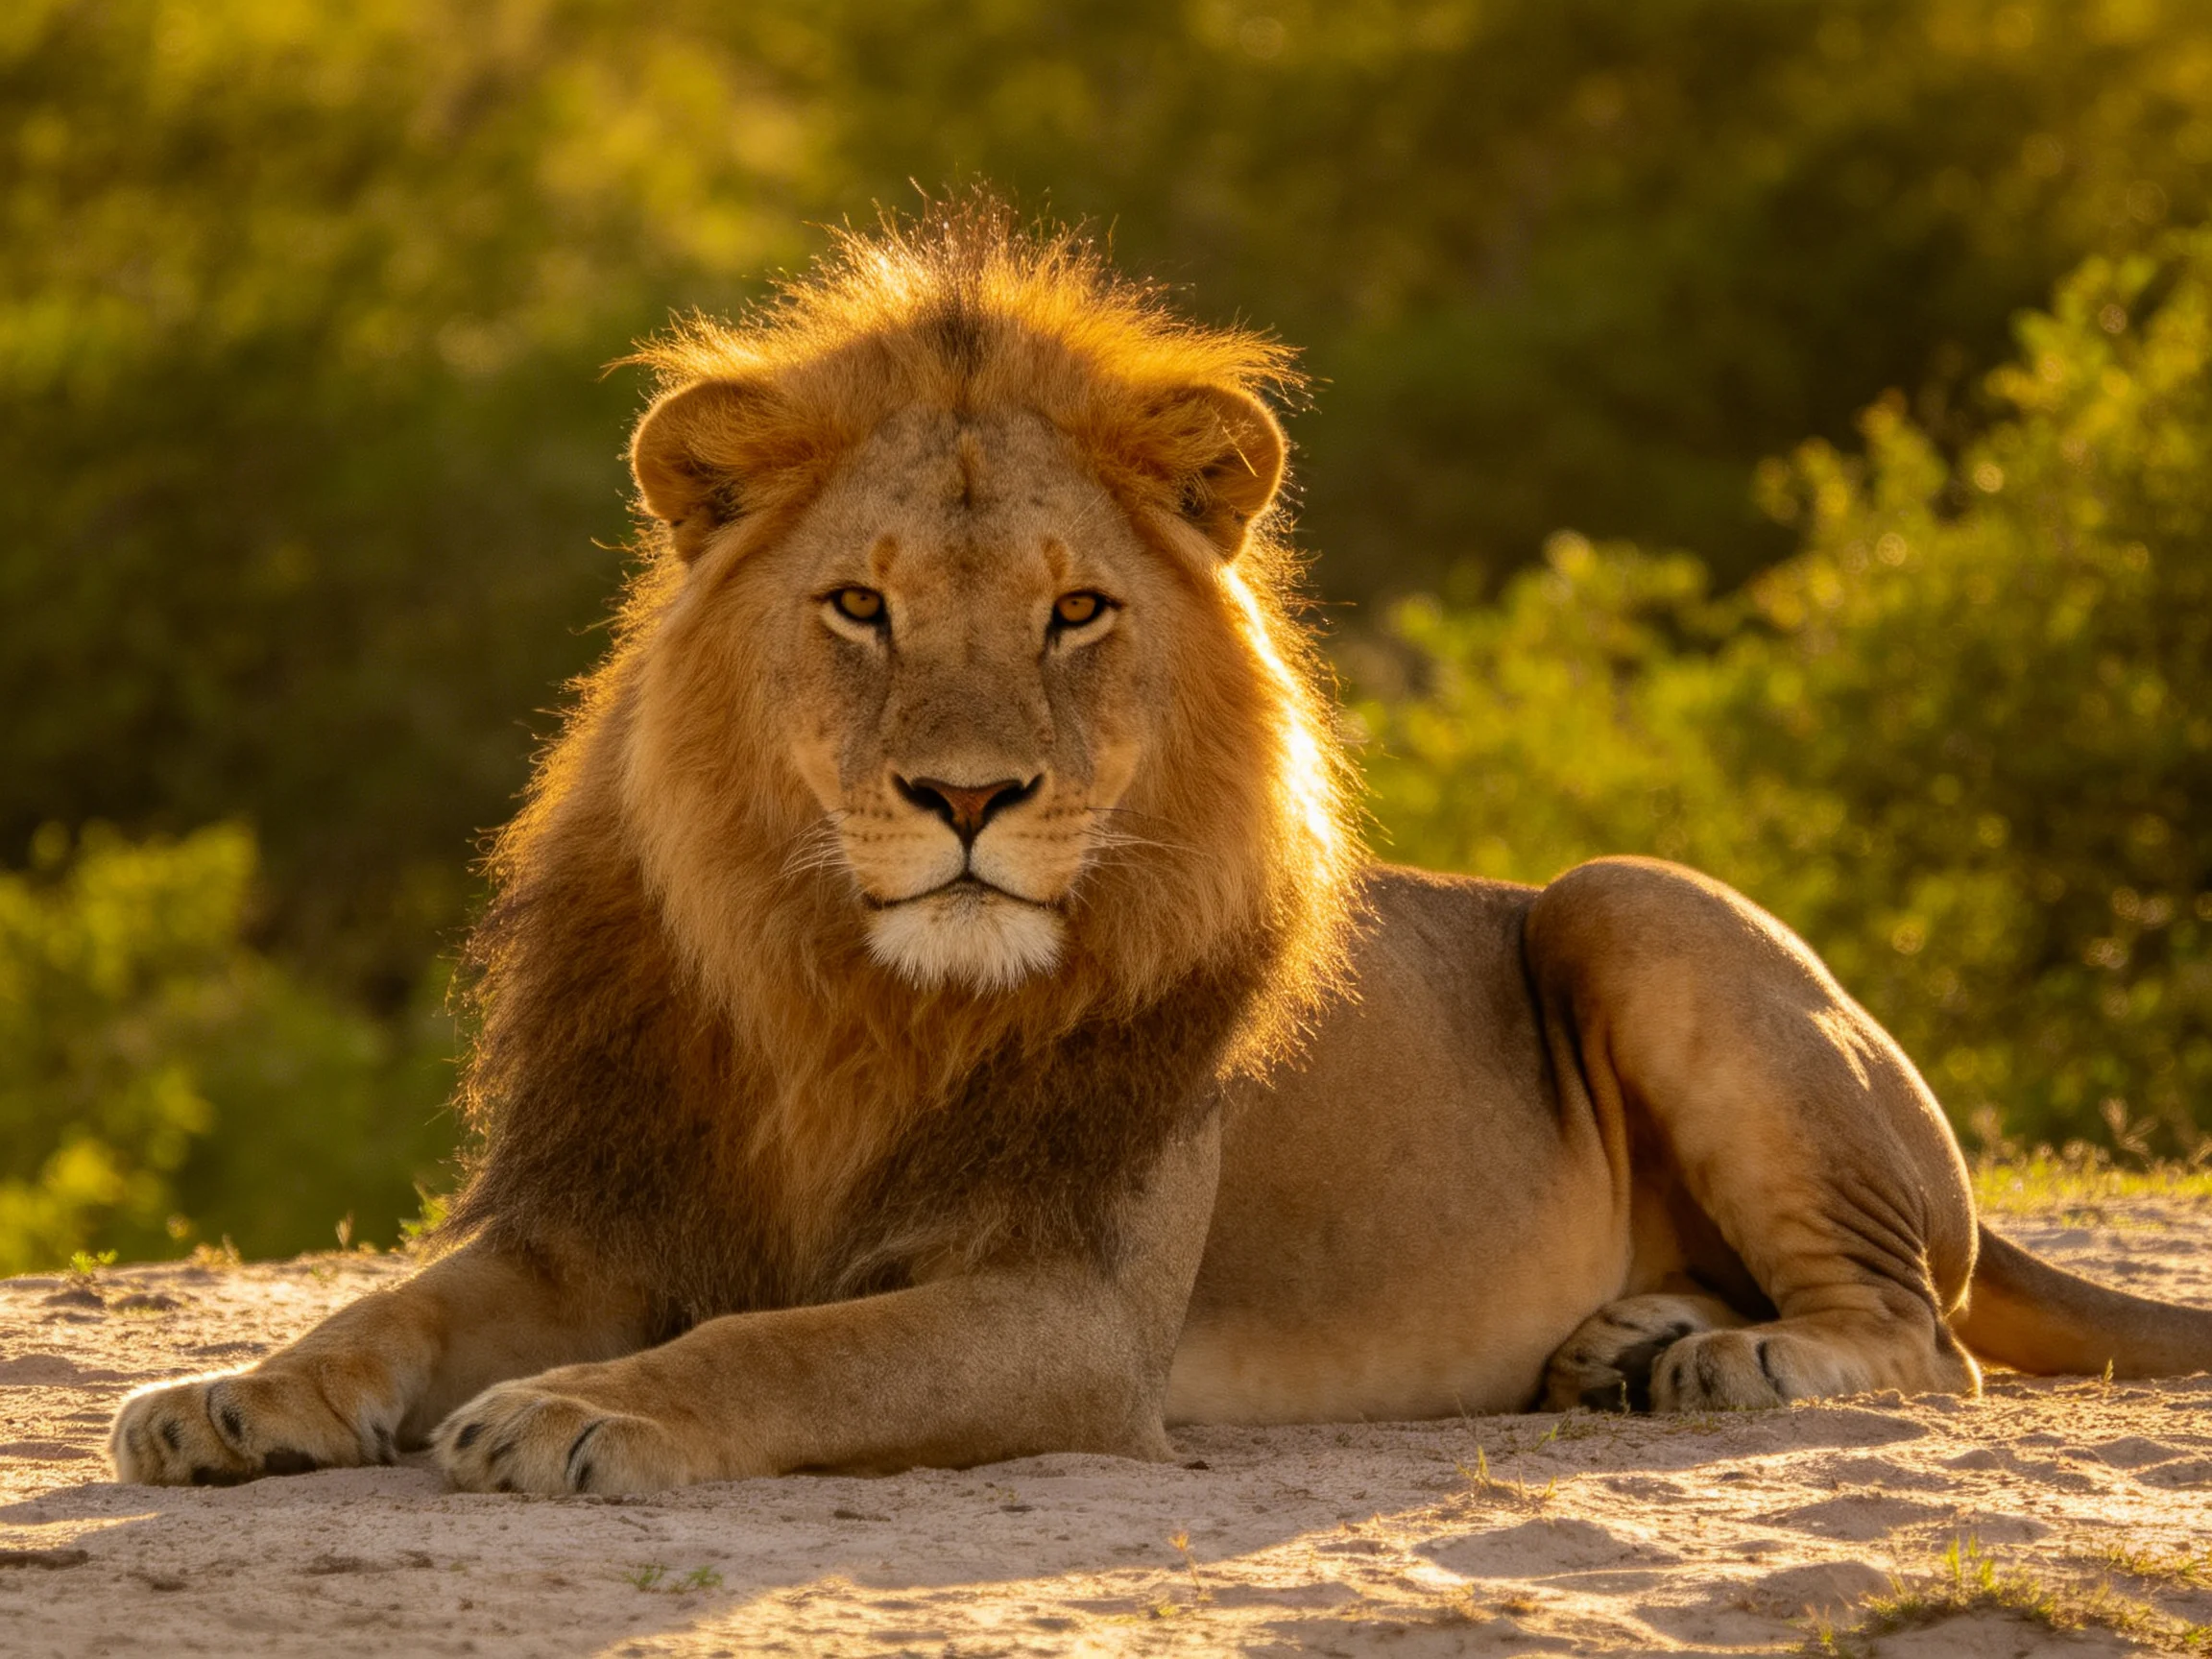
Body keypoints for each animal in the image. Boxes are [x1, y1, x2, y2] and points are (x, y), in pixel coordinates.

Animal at [112, 203, 2212, 1495]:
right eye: (861, 606)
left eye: (1075, 614)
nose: (968, 799)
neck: (839, 1004)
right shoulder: (599, 1212)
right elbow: (391, 1303)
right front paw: (230, 1392)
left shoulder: (1070, 1314)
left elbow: (787, 1350)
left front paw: (570, 1409)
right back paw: (1626, 1339)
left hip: (1635, 908)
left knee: (1920, 1337)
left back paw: (1720, 1365)